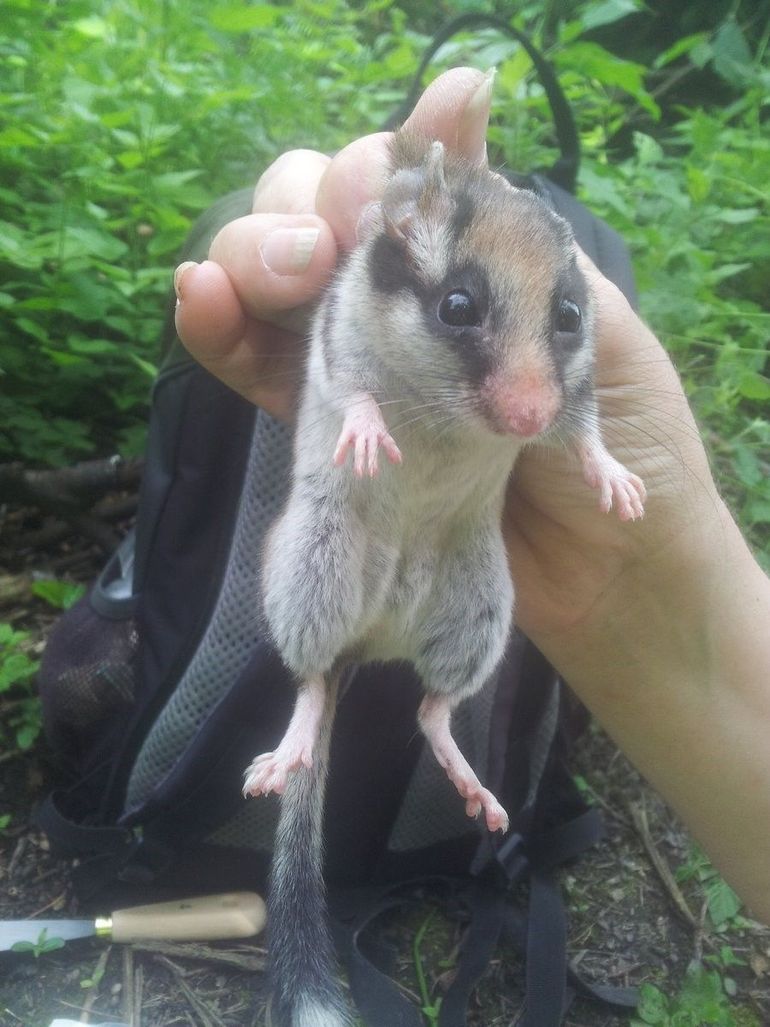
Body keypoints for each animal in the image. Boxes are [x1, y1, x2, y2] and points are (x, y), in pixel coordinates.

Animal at [244, 128, 648, 1027]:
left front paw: (618, 485)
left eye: (569, 315)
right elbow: (357, 392)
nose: (528, 418)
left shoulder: (577, 393)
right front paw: (369, 436)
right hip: (314, 567)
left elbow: (586, 430)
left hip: (480, 604)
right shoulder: (342, 343)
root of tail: (372, 641)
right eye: (457, 306)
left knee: (432, 709)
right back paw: (289, 751)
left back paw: (475, 788)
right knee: (311, 682)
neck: (443, 405)